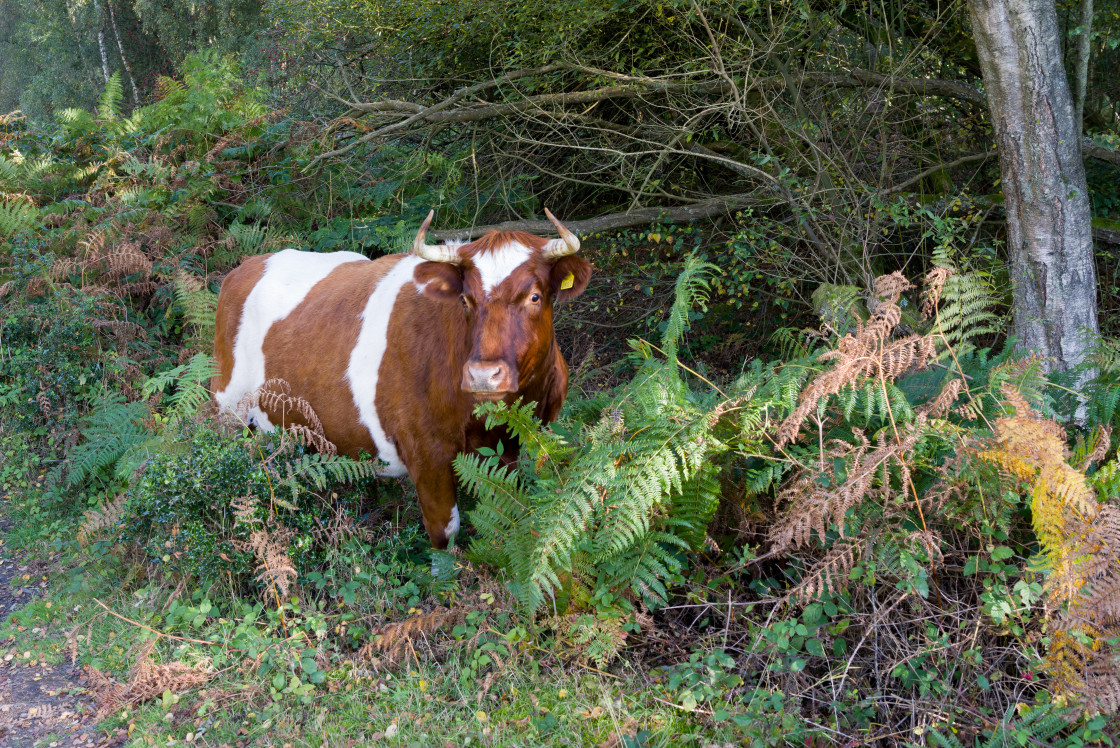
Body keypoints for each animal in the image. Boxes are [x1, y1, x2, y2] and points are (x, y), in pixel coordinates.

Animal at [211, 210, 595, 548]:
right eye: (465, 300)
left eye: (534, 296)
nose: (483, 375)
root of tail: (246, 266)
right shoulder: (426, 451)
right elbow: (445, 529)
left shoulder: (517, 447)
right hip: (227, 411)